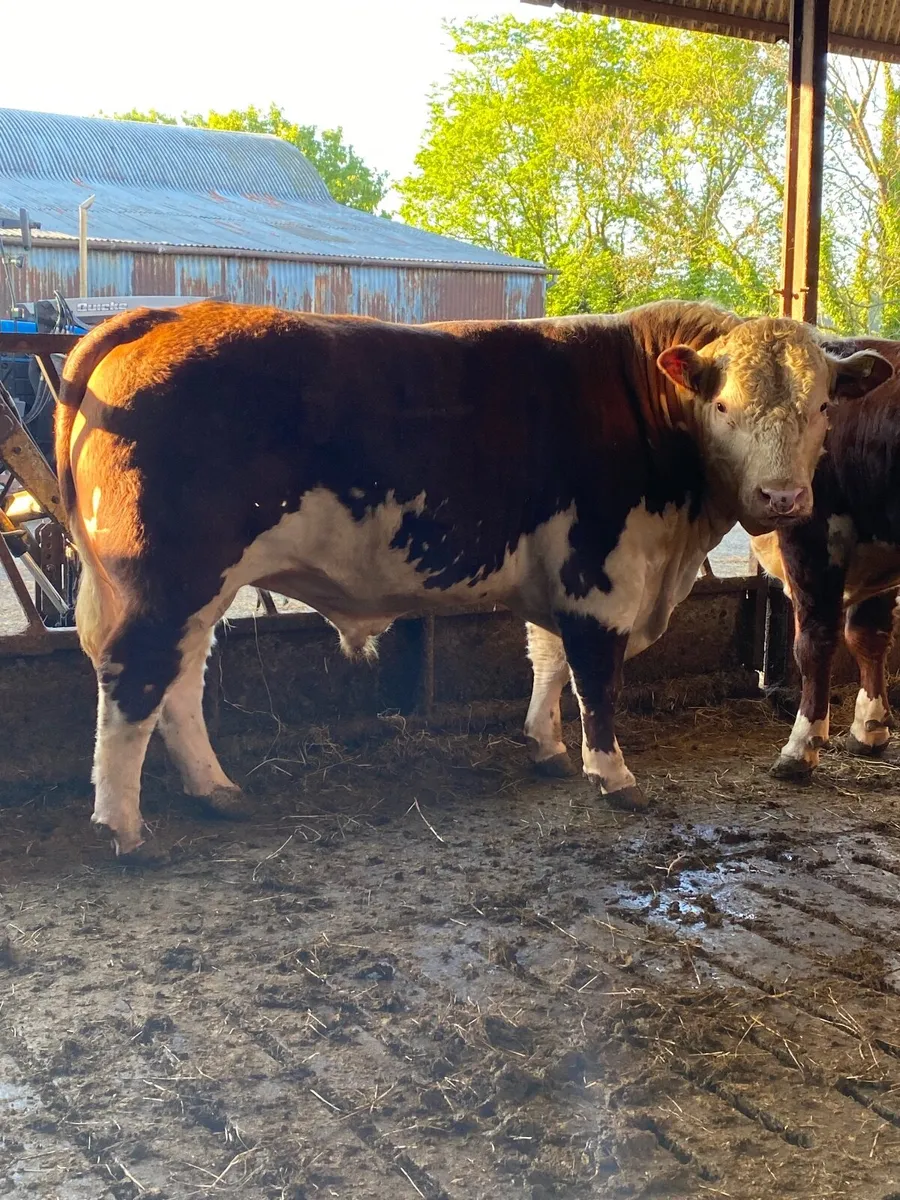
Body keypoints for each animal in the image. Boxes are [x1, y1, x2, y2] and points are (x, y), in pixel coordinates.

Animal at [752, 337, 900, 779]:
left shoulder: (813, 538)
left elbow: (814, 641)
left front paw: (801, 745)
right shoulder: (877, 554)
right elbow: (868, 635)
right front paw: (870, 728)